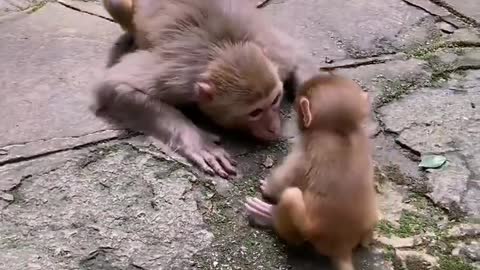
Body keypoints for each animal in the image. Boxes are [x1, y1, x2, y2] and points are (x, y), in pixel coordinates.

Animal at [248, 73, 378, 270]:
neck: (339, 130)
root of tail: (342, 246)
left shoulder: (303, 151)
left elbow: (284, 179)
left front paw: (267, 187)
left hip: (306, 227)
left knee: (291, 196)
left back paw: (269, 215)